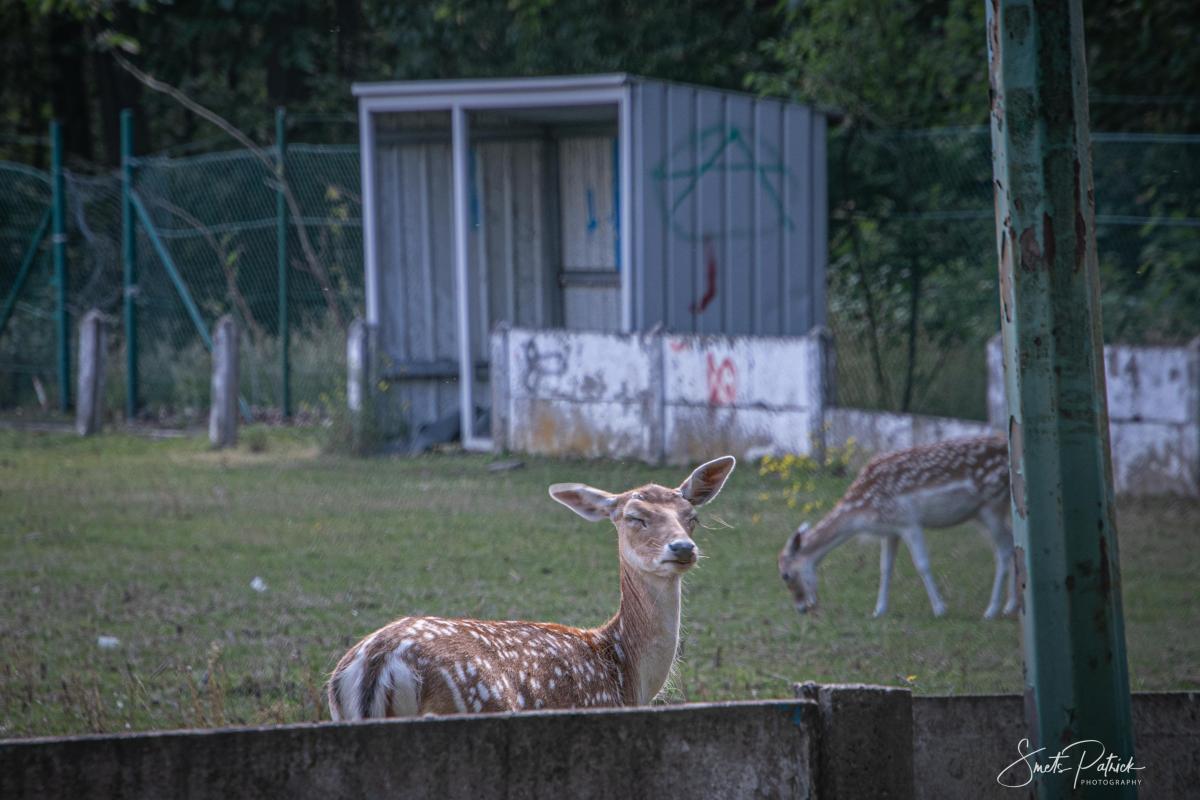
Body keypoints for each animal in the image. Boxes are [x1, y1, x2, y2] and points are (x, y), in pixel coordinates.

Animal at [327, 456, 736, 720]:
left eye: (692, 517)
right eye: (635, 517)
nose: (682, 548)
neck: (627, 673)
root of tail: (378, 662)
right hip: (470, 705)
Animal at [778, 435, 1014, 619]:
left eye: (785, 575)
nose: (801, 608)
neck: (862, 509)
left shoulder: (908, 521)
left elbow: (922, 564)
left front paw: (940, 609)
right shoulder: (890, 530)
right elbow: (885, 568)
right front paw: (879, 610)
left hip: (992, 504)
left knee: (1004, 552)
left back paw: (991, 611)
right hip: (982, 513)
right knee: (1012, 545)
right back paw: (1010, 607)